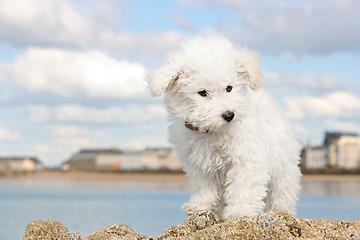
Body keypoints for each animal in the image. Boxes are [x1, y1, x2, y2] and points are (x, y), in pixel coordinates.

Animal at [146, 34, 300, 220]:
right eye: (202, 93)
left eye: (229, 88)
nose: (229, 115)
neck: (212, 131)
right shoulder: (199, 164)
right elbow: (205, 186)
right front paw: (201, 205)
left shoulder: (246, 158)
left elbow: (243, 186)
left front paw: (240, 210)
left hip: (283, 170)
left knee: (281, 195)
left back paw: (280, 211)